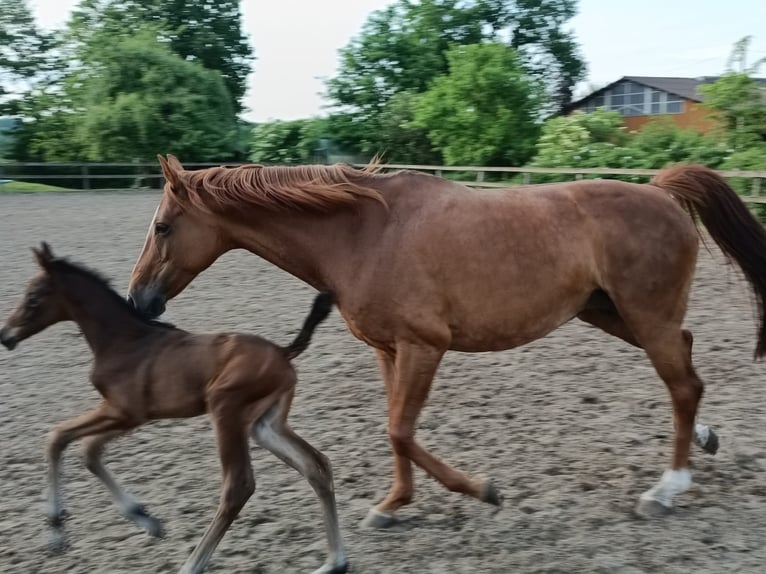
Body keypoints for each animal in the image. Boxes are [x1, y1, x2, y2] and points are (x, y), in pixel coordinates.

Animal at [0, 245, 348, 574]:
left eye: (33, 297)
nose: (6, 336)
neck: (124, 341)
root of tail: (283, 352)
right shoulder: (129, 417)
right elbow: (88, 451)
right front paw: (146, 519)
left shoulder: (122, 412)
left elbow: (57, 438)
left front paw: (56, 532)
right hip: (265, 425)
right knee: (315, 465)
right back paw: (334, 562)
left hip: (226, 411)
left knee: (238, 487)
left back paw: (192, 565)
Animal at [127, 155, 766, 528]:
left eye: (162, 226)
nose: (138, 301)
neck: (364, 232)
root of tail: (661, 193)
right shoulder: (388, 350)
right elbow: (393, 429)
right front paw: (392, 506)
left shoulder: (424, 345)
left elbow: (400, 430)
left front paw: (484, 491)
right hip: (611, 314)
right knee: (687, 365)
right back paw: (704, 440)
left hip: (643, 315)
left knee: (681, 382)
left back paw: (668, 488)